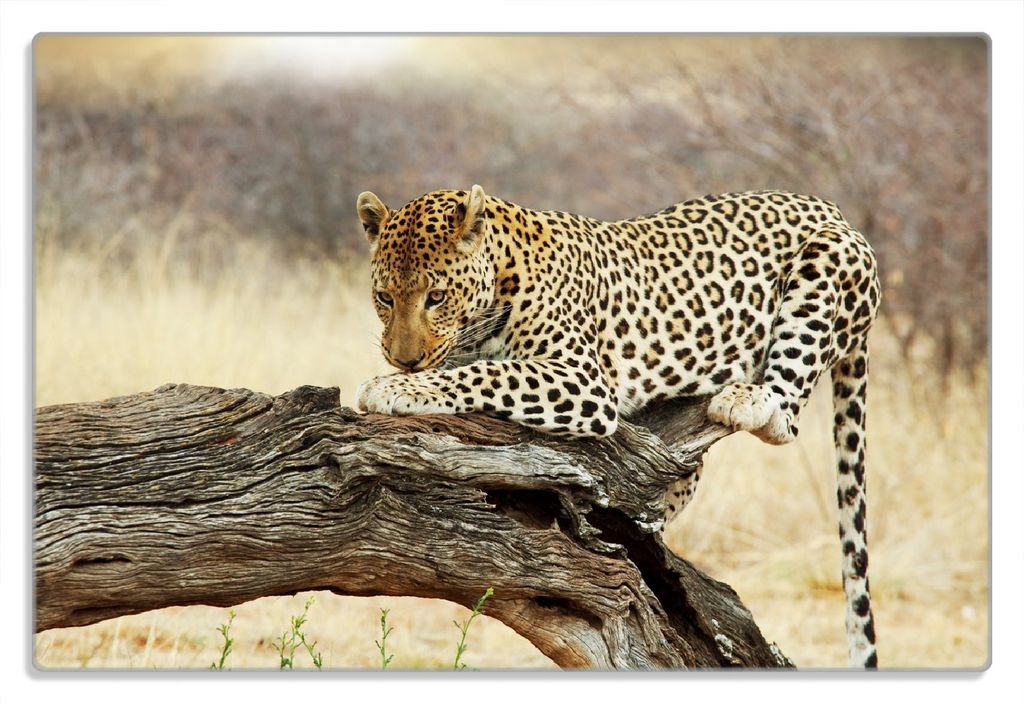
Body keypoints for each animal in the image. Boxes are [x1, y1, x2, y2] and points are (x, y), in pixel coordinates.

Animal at [354, 184, 881, 668]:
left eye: (436, 297)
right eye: (383, 297)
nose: (403, 359)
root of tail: (832, 208)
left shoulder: (581, 377)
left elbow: (487, 373)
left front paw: (394, 388)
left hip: (824, 264)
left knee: (785, 417)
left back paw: (746, 399)